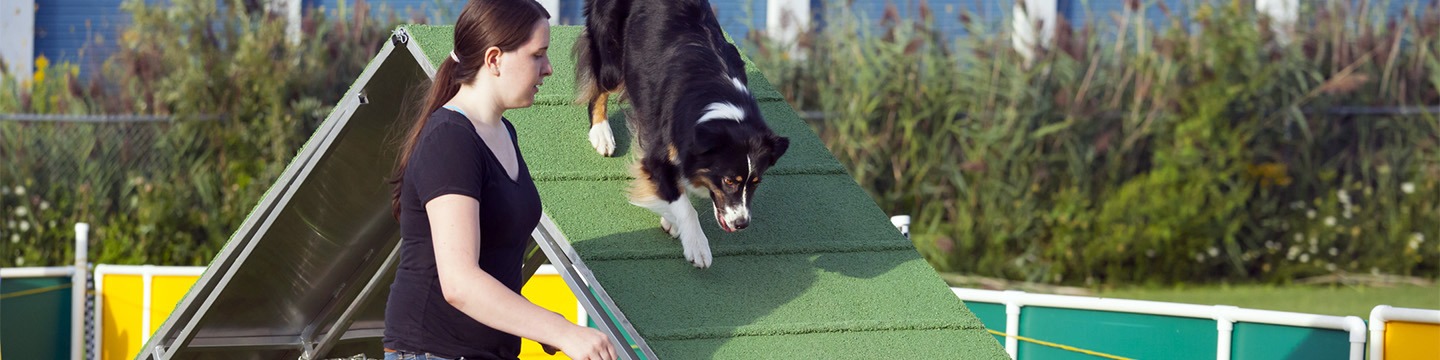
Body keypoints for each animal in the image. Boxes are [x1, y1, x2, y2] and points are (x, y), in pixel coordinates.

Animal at [576, 0, 794, 267]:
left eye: (756, 183)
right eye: (729, 181)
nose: (741, 223)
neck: (723, 108)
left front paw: (671, 220)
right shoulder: (657, 155)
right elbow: (684, 204)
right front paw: (697, 245)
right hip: (612, 54)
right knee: (599, 88)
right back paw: (601, 134)